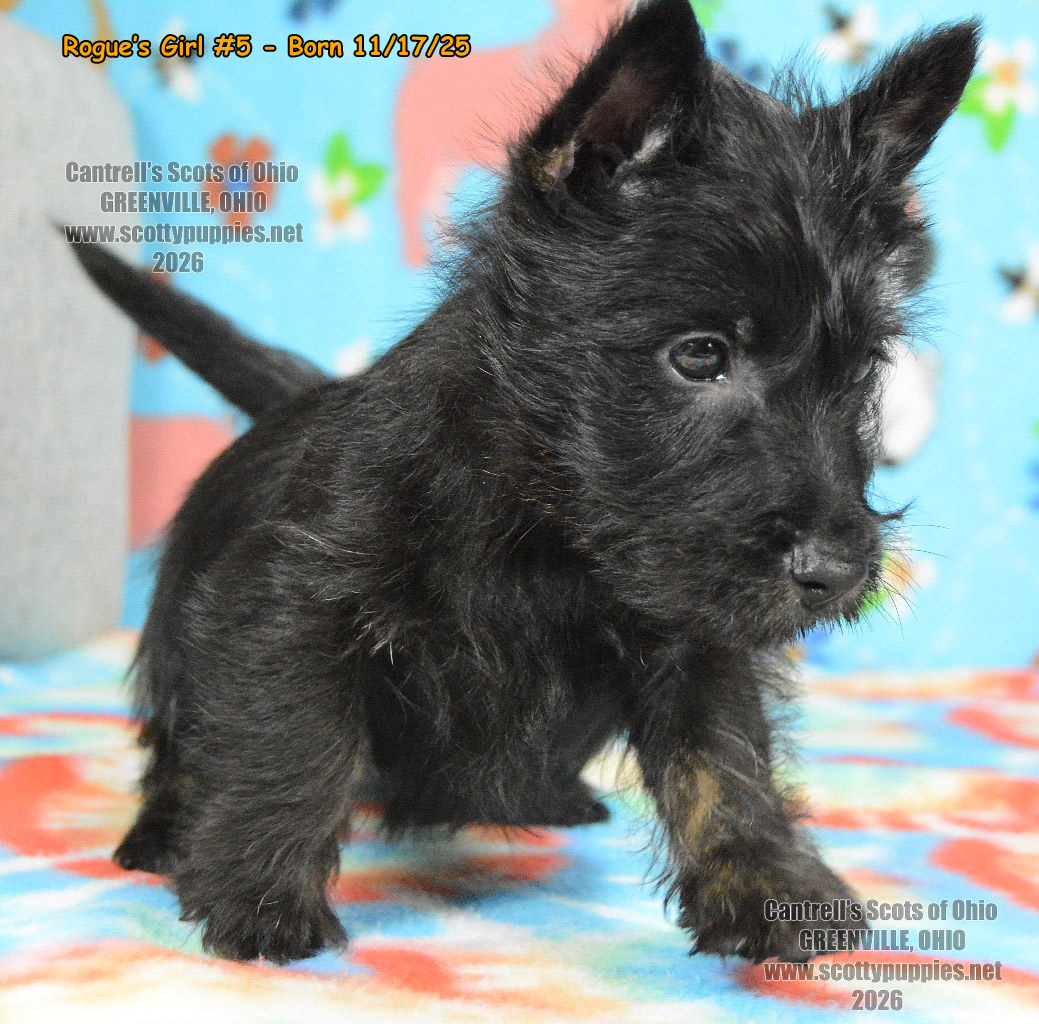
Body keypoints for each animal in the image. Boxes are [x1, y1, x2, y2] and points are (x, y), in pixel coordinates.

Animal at [70, 0, 978, 965]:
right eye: (699, 356)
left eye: (863, 371)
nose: (838, 573)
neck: (547, 520)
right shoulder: (290, 606)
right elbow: (291, 743)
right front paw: (259, 895)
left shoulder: (694, 633)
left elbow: (724, 758)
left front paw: (767, 882)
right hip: (179, 640)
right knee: (181, 743)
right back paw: (161, 832)